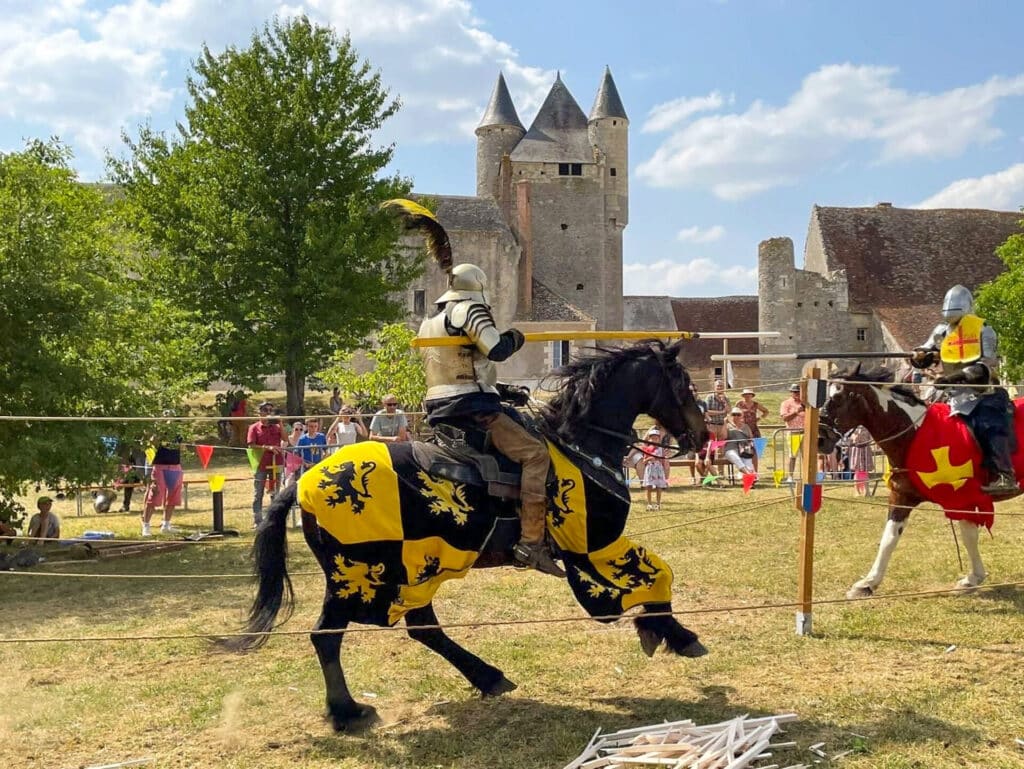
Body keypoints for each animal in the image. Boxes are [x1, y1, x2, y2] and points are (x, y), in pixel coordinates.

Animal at [227, 342, 712, 733]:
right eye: (683, 384)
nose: (702, 434)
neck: (581, 445)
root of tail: (304, 482)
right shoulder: (595, 546)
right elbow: (658, 576)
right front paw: (676, 633)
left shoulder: (596, 550)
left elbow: (652, 579)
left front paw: (662, 629)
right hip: (356, 574)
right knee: (328, 636)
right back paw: (347, 712)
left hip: (412, 569)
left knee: (423, 628)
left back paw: (487, 677)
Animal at [815, 366, 1024, 602]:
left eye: (839, 397)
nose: (820, 439)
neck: (913, 433)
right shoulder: (902, 497)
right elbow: (889, 538)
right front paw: (868, 583)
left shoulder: (962, 499)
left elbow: (968, 536)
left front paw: (973, 578)